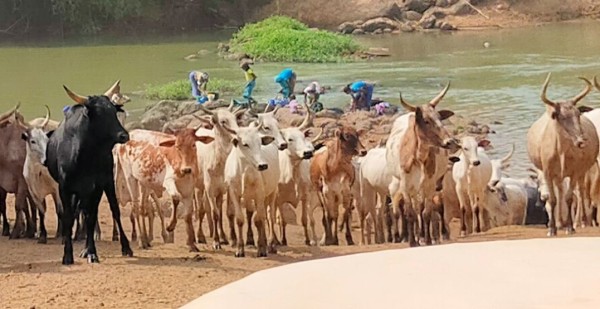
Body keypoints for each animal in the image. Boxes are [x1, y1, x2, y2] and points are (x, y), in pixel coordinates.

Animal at [45, 85, 132, 264]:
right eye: (98, 113)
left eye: (113, 111)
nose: (124, 135)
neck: (84, 155)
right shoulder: (65, 188)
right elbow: (68, 217)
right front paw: (67, 254)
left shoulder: (96, 186)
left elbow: (91, 217)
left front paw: (91, 252)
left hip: (107, 183)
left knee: (113, 210)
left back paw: (125, 246)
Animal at [528, 73, 596, 236]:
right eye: (562, 117)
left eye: (578, 114)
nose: (581, 140)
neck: (561, 152)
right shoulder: (547, 172)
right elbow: (553, 199)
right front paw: (552, 228)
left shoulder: (574, 172)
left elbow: (569, 197)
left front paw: (570, 227)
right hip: (557, 175)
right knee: (559, 192)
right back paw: (560, 223)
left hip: (581, 171)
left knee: (580, 191)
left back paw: (582, 221)